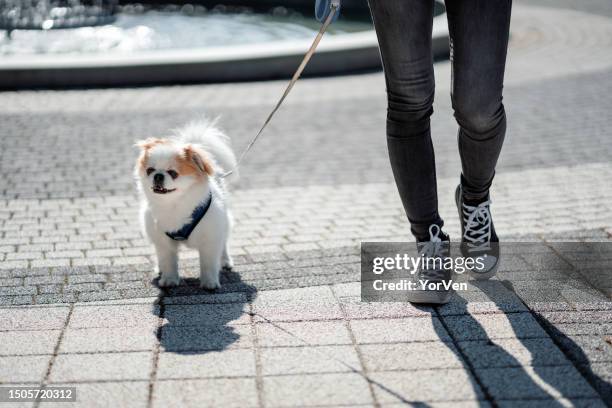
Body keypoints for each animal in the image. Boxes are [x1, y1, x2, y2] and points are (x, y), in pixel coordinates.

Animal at [134, 118, 237, 290]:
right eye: (150, 170)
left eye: (173, 173)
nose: (158, 175)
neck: (175, 203)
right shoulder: (163, 241)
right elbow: (168, 261)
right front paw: (169, 279)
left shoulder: (210, 237)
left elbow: (209, 263)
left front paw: (209, 283)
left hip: (224, 223)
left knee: (223, 244)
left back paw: (225, 261)